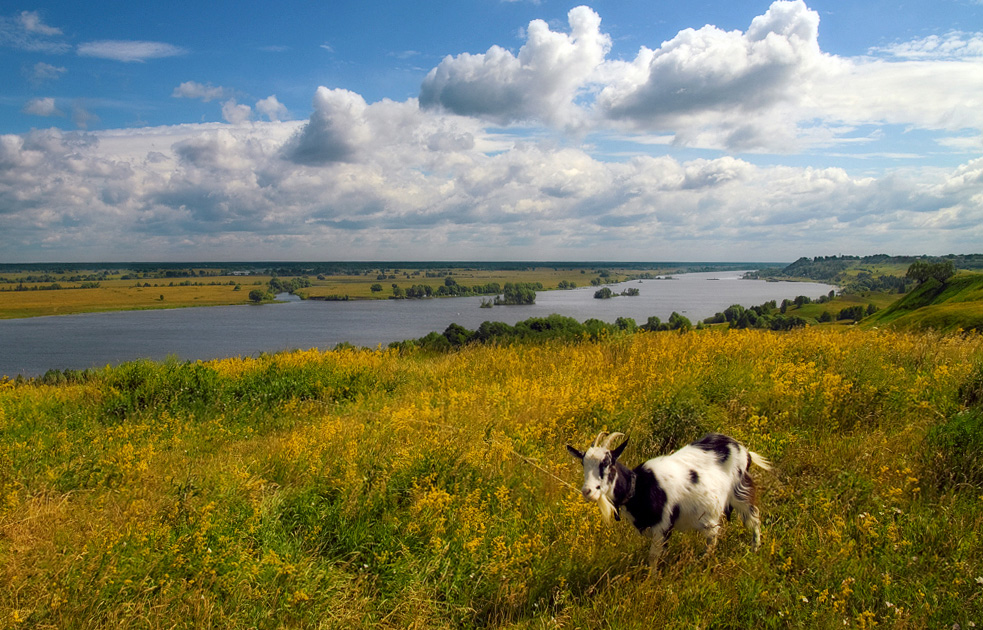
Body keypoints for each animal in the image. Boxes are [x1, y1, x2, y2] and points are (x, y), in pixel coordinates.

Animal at [572, 434, 772, 568]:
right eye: (583, 464)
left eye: (608, 463)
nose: (588, 491)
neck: (640, 486)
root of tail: (744, 450)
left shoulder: (663, 526)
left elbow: (653, 557)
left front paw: (650, 583)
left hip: (740, 491)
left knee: (753, 517)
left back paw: (754, 549)